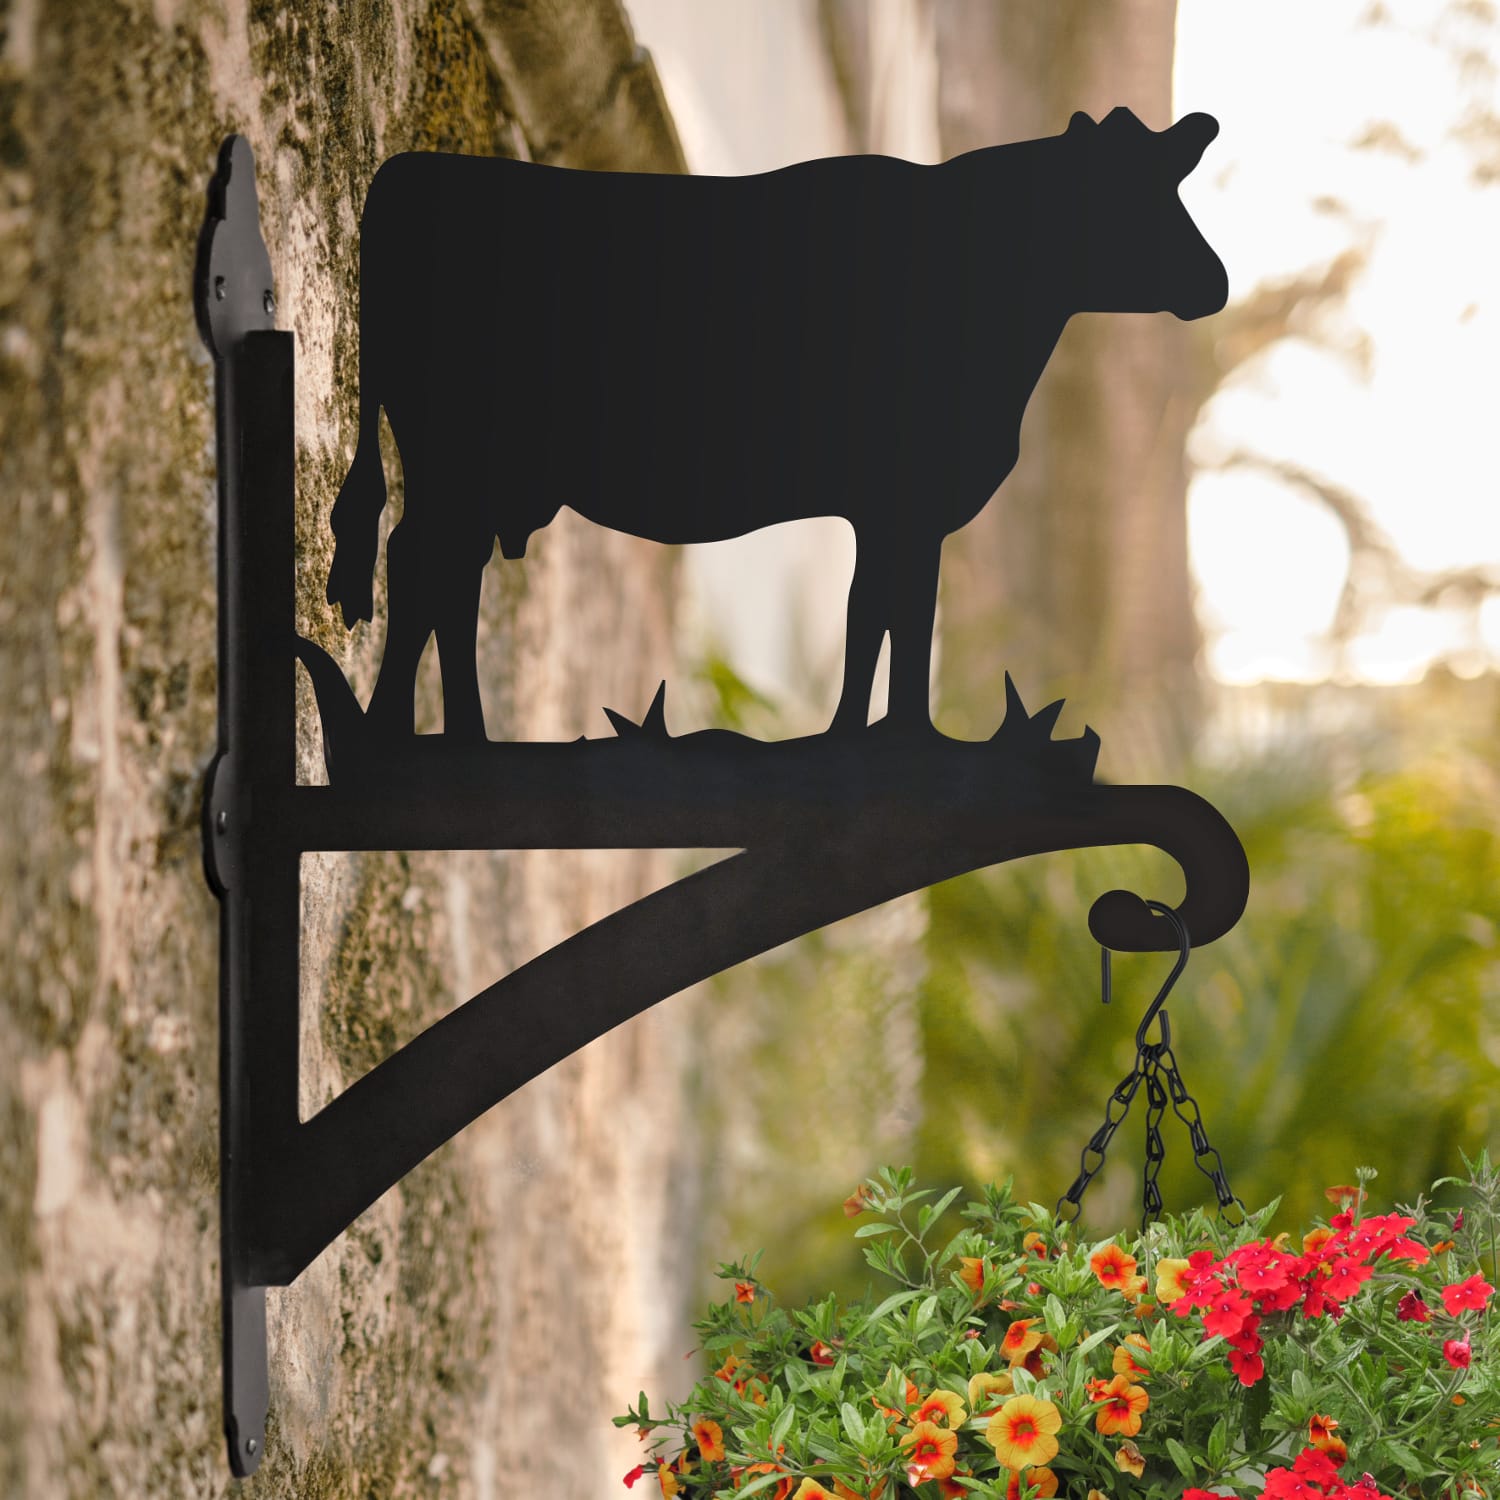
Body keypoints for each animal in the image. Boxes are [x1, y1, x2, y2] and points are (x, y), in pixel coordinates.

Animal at [325, 108, 1227, 741]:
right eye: (1129, 198)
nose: (1215, 282)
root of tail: (404, 172)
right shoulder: (907, 497)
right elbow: (898, 614)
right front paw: (894, 741)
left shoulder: (900, 508)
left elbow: (881, 612)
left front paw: (868, 735)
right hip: (456, 456)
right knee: (419, 564)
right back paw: (402, 735)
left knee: (446, 574)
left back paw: (455, 736)